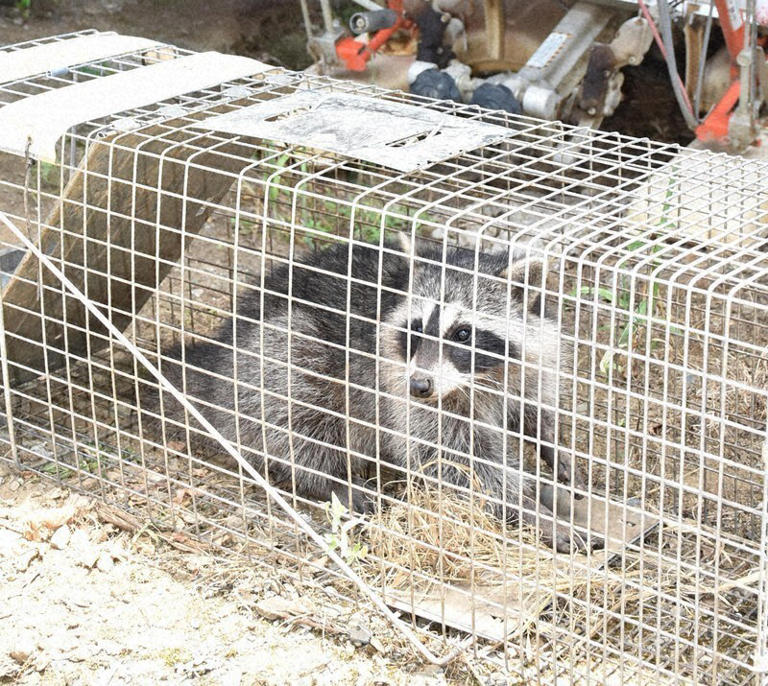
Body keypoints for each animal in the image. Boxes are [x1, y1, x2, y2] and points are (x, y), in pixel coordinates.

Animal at [150, 237, 588, 552]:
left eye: (463, 333)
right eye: (416, 329)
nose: (420, 386)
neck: (479, 378)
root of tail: (220, 359)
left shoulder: (534, 356)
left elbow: (534, 404)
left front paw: (552, 444)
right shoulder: (403, 389)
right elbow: (455, 459)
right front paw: (531, 510)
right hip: (277, 351)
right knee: (296, 412)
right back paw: (329, 479)